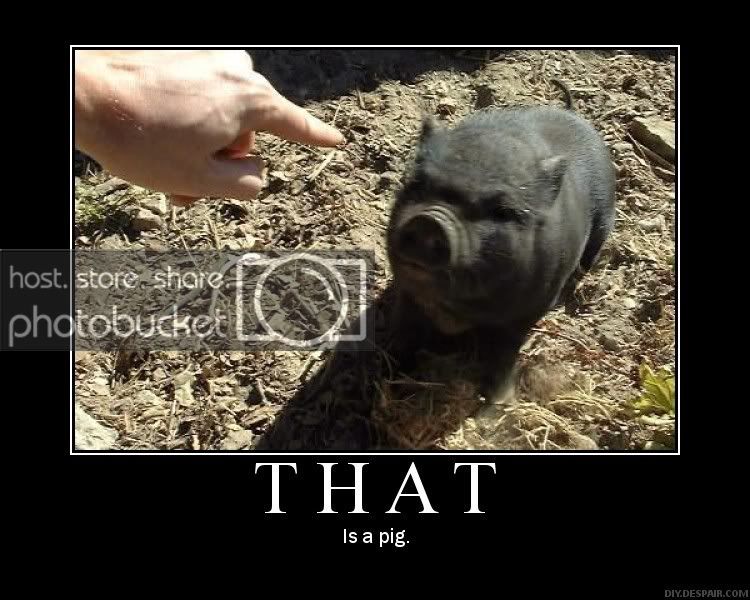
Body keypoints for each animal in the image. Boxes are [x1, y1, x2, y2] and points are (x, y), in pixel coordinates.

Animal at [386, 83, 616, 405]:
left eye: (503, 211)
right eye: (418, 185)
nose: (430, 220)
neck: (456, 309)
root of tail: (572, 112)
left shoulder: (532, 308)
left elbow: (505, 353)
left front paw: (498, 401)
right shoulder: (407, 295)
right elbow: (404, 335)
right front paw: (391, 385)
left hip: (605, 218)